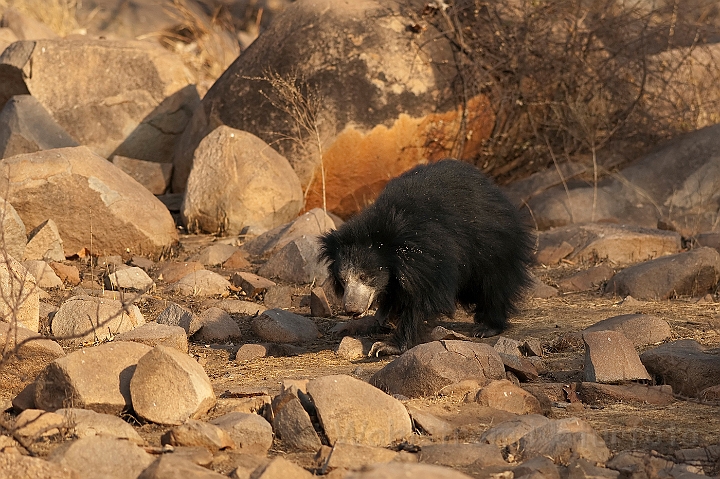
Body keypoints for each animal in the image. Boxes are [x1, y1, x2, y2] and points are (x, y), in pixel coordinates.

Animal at [320, 160, 536, 356]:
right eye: (343, 280)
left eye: (365, 276)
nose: (351, 309)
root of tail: (493, 189)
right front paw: (386, 317)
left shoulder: (428, 254)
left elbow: (424, 297)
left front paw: (387, 346)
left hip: (491, 244)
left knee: (493, 283)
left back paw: (487, 326)